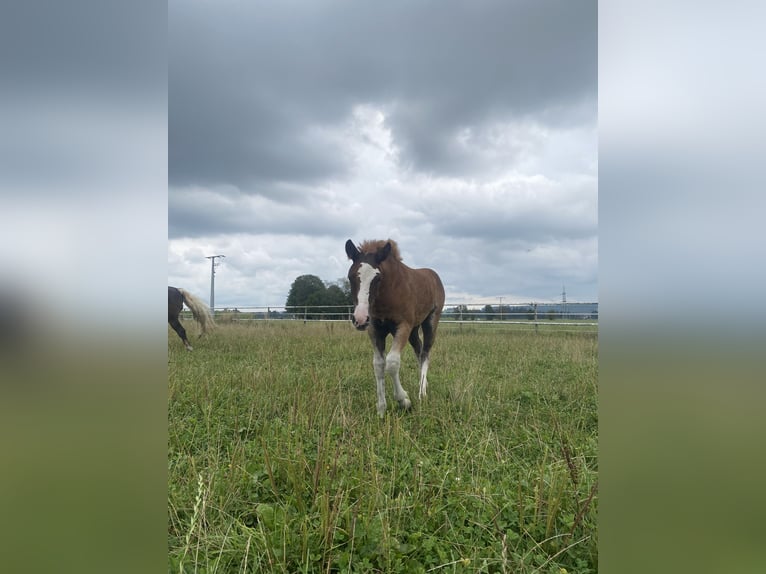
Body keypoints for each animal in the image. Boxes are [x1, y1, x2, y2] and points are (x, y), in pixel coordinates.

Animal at [346, 238, 448, 418]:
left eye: (377, 278)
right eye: (351, 277)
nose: (360, 319)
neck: (388, 295)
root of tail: (434, 275)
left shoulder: (403, 326)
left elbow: (392, 363)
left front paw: (404, 400)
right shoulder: (375, 330)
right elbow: (379, 365)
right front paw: (381, 408)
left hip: (430, 322)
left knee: (426, 353)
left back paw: (422, 393)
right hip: (414, 330)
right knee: (419, 351)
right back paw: (424, 384)